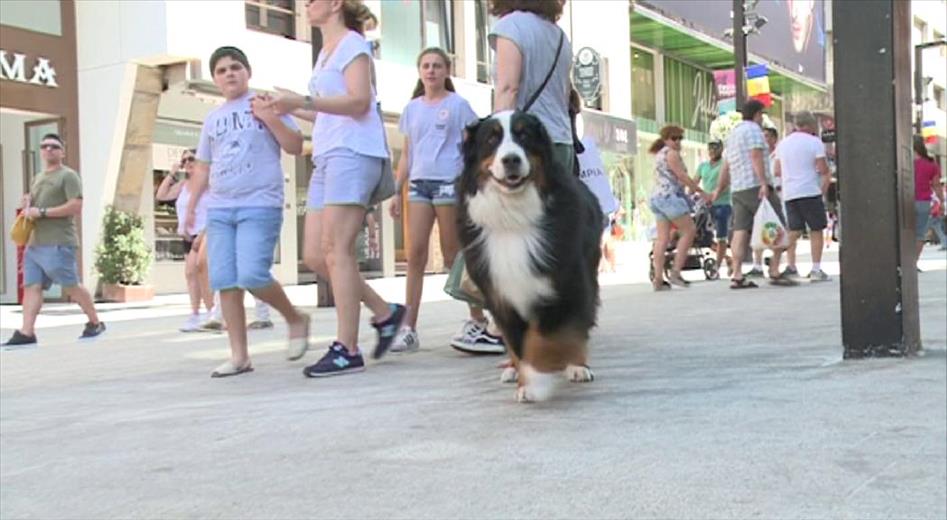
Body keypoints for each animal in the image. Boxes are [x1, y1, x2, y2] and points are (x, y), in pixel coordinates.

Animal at [458, 110, 604, 402]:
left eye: (524, 136)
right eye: (491, 139)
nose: (511, 159)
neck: (513, 217)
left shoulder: (564, 285)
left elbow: (545, 337)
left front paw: (541, 377)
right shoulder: (501, 296)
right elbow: (518, 343)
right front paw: (526, 380)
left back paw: (577, 366)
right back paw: (513, 371)